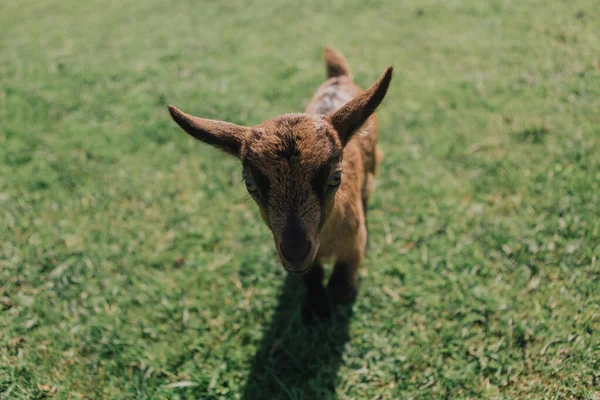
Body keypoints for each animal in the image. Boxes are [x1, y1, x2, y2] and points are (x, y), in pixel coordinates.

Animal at [168, 48, 394, 320]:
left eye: (335, 178)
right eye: (250, 184)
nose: (296, 252)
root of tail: (338, 77)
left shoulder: (353, 245)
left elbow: (340, 283)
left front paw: (338, 299)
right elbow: (313, 279)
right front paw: (315, 308)